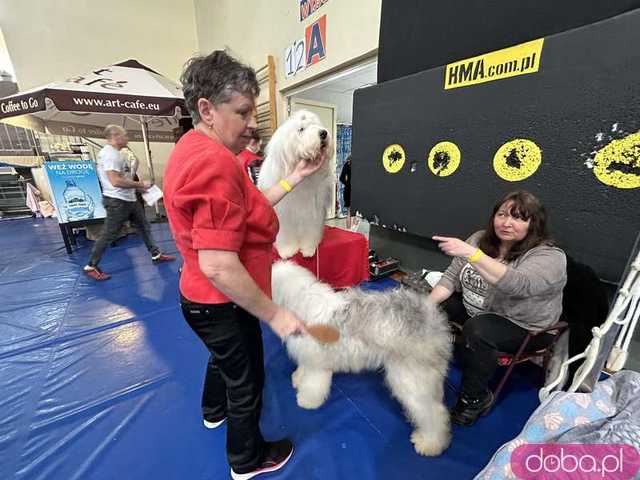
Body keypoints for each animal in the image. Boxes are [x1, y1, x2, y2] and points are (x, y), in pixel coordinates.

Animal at [258, 109, 336, 258]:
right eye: (301, 129)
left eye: (316, 125)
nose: (323, 133)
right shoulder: (285, 213)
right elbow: (286, 232)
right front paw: (287, 250)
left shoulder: (313, 211)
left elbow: (311, 229)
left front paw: (308, 249)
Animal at [272, 260, 452, 456]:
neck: (301, 302)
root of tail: (433, 320)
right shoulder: (307, 356)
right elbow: (303, 369)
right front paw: (297, 378)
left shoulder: (318, 365)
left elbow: (313, 385)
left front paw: (307, 401)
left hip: (411, 379)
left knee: (433, 413)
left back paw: (429, 443)